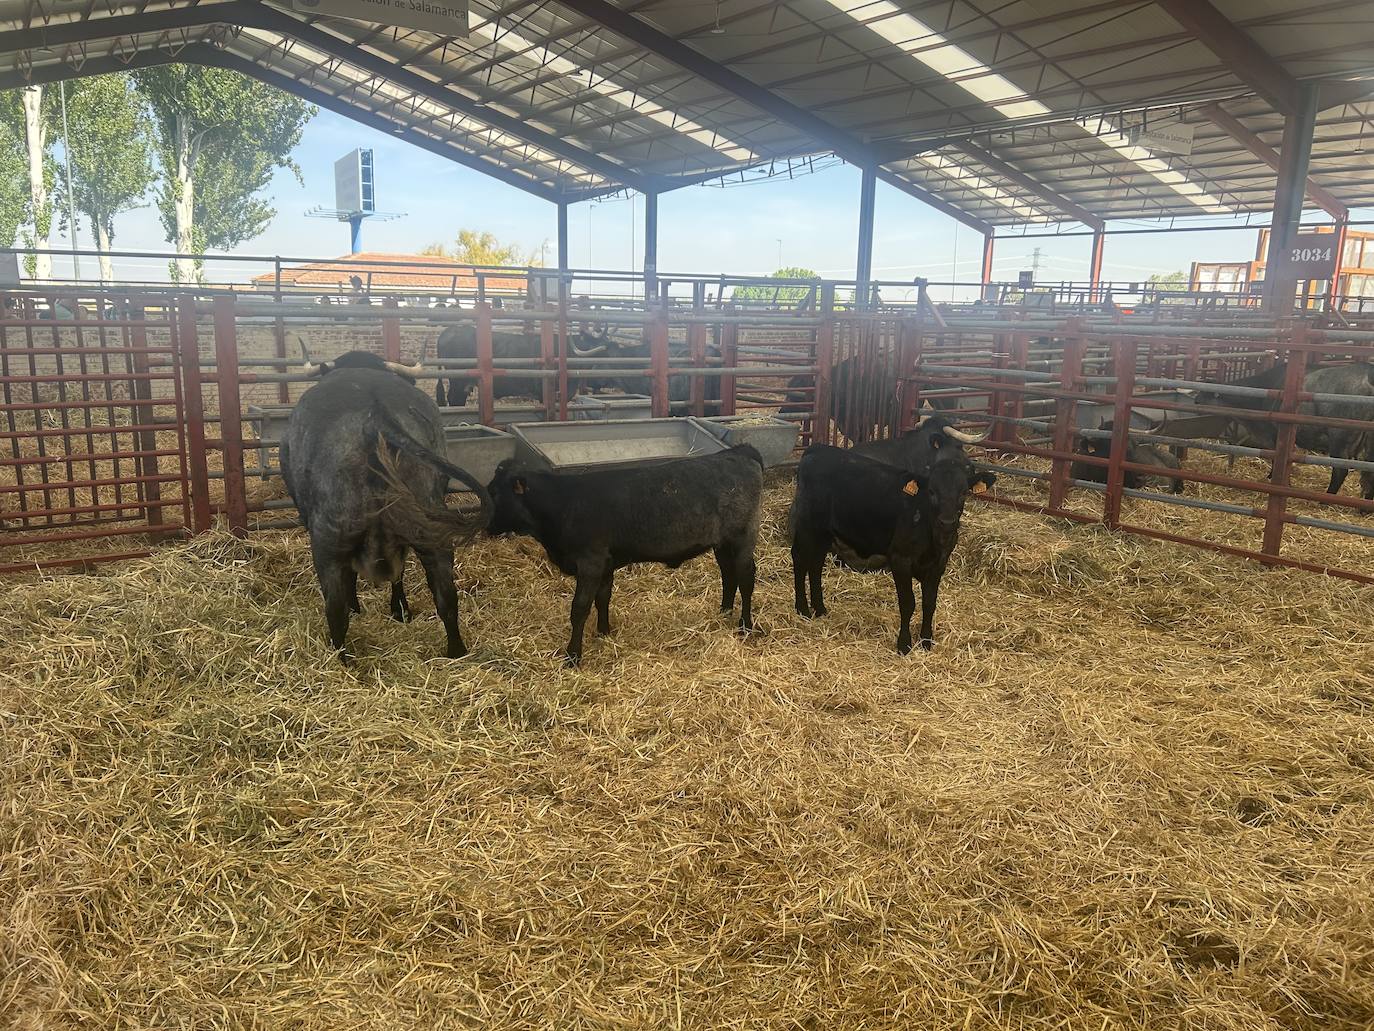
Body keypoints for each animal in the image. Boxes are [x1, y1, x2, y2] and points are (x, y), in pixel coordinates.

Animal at [281, 358, 492, 663]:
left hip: (329, 541)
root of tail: (375, 417)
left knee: (336, 610)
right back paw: (456, 652)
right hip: (432, 534)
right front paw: (400, 609)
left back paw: (341, 660)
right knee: (446, 596)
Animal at [486, 446, 764, 665]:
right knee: (728, 575)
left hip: (743, 538)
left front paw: (573, 656)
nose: (488, 528)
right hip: (722, 544)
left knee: (745, 578)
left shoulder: (591, 562)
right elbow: (603, 598)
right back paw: (724, 612)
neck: (563, 505)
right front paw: (604, 632)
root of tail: (738, 452)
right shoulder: (605, 564)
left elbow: (579, 608)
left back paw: (745, 626)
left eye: (496, 493)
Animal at [790, 445, 994, 654]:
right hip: (808, 525)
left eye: (964, 492)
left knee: (815, 565)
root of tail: (817, 449)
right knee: (800, 559)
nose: (947, 522)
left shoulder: (939, 563)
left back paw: (820, 609)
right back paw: (803, 609)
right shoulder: (900, 559)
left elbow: (929, 602)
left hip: (824, 533)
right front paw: (904, 644)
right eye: (931, 491)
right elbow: (908, 602)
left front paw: (926, 641)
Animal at [1195, 361, 1374, 500]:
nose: (1195, 402)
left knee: (1340, 470)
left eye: (1203, 397)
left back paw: (1326, 499)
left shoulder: (1274, 434)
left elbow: (1277, 459)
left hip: (1339, 439)